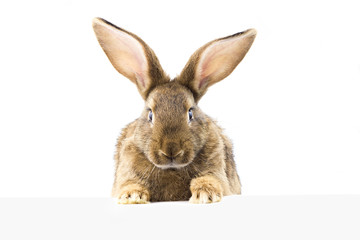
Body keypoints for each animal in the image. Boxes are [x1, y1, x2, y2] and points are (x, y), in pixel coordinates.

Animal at [93, 17, 256, 203]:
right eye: (150, 114)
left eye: (190, 113)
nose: (171, 151)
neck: (171, 168)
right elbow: (130, 183)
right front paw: (131, 196)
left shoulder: (216, 169)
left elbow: (210, 179)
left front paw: (205, 194)